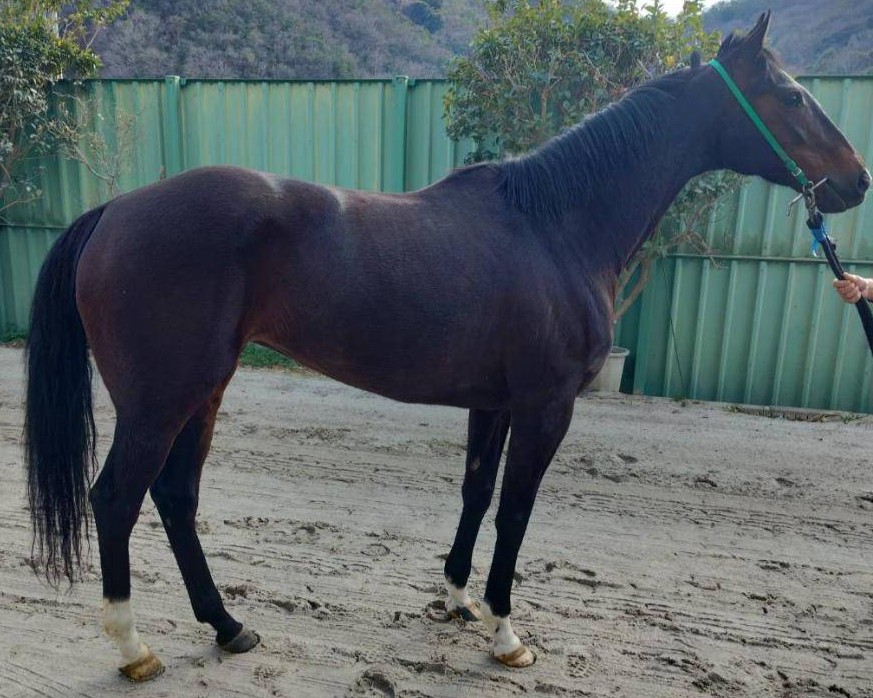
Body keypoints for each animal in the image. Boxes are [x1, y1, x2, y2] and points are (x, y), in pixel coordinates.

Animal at [23, 12, 869, 681]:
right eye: (790, 97)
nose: (855, 180)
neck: (554, 223)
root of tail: (115, 211)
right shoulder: (546, 407)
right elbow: (516, 511)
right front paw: (505, 631)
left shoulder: (491, 404)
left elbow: (474, 494)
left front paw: (458, 600)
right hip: (160, 399)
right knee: (117, 498)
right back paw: (133, 649)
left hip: (205, 388)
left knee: (175, 497)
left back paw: (229, 628)